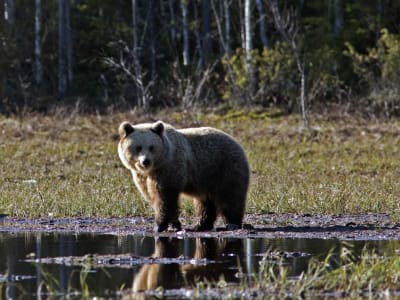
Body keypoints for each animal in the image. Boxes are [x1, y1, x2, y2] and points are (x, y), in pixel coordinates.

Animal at [117, 120, 248, 232]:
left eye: (151, 147)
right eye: (138, 147)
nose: (146, 161)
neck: (154, 168)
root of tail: (237, 143)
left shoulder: (169, 170)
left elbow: (165, 198)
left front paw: (159, 225)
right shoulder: (144, 177)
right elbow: (153, 196)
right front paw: (174, 224)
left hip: (225, 168)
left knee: (231, 196)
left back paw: (232, 223)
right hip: (206, 179)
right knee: (205, 202)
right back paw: (201, 225)